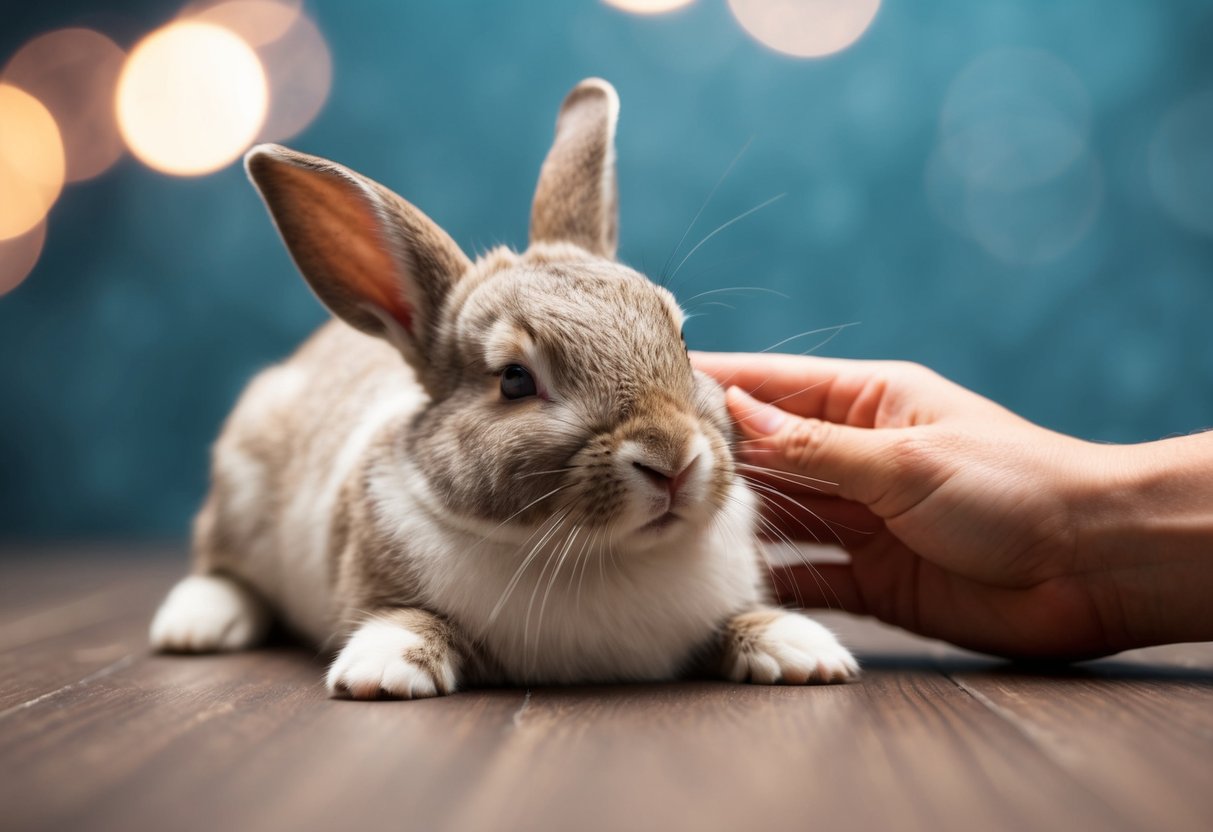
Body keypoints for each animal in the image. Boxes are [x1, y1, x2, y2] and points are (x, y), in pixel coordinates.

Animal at [149, 78, 858, 698]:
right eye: (515, 380)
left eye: (682, 339)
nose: (672, 461)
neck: (602, 555)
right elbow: (405, 617)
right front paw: (382, 670)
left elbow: (741, 618)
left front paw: (806, 651)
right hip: (239, 488)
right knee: (222, 566)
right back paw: (194, 626)